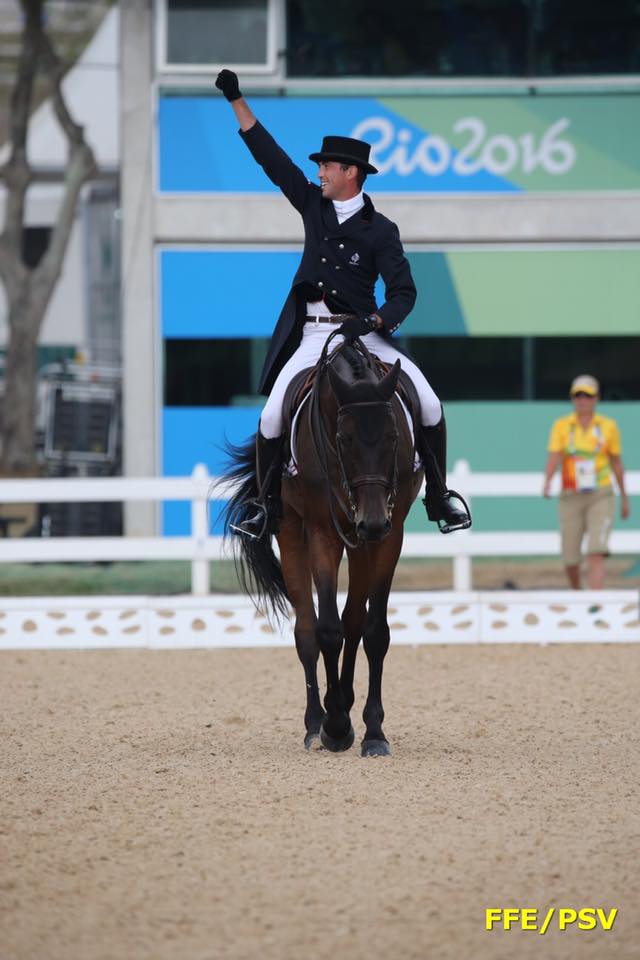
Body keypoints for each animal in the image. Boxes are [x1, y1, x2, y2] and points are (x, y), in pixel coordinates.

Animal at [222, 338, 422, 756]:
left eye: (394, 437)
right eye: (345, 439)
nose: (372, 521)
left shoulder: (390, 534)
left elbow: (374, 631)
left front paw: (373, 732)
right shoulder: (321, 532)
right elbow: (327, 629)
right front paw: (336, 727)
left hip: (362, 543)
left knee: (354, 620)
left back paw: (343, 700)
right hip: (291, 530)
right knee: (306, 629)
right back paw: (317, 722)